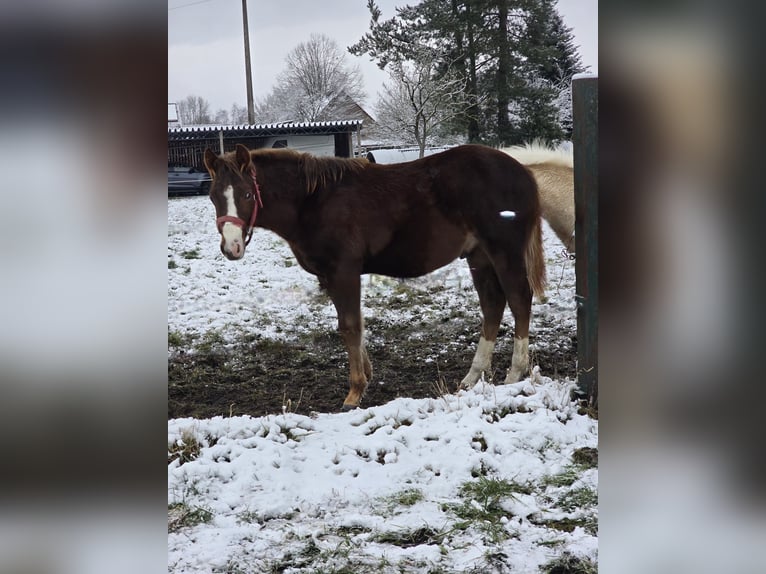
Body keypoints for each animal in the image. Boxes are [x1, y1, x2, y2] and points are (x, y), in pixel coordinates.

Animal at [203, 143, 546, 409]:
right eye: (213, 196)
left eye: (248, 194)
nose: (231, 247)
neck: (313, 201)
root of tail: (524, 172)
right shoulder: (330, 277)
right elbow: (354, 325)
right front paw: (366, 377)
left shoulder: (344, 271)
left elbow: (350, 326)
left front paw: (355, 392)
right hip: (479, 257)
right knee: (493, 305)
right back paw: (472, 377)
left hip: (504, 251)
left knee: (519, 300)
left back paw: (515, 373)